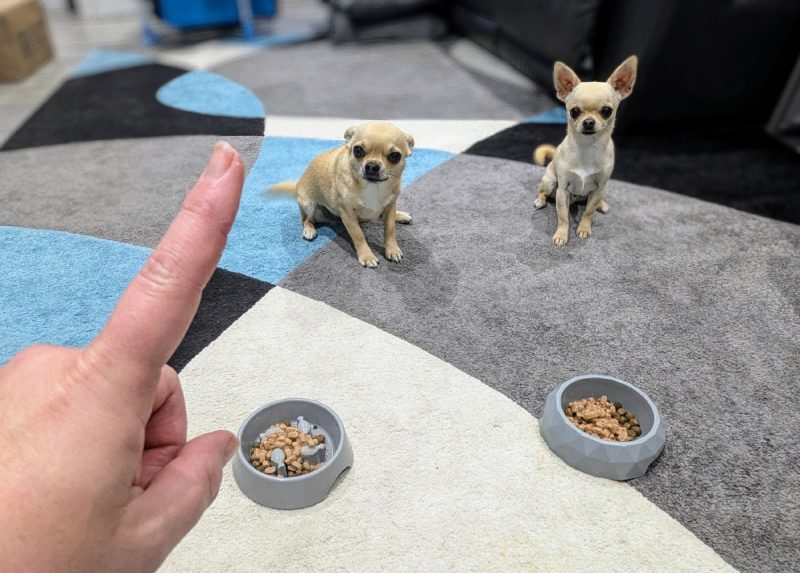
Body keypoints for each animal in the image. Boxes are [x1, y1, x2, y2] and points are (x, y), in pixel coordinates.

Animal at [272, 121, 416, 268]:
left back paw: (400, 215)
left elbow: (390, 230)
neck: (373, 187)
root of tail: (297, 184)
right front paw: (367, 256)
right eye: (358, 150)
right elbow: (358, 235)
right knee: (307, 220)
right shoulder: (348, 214)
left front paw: (392, 250)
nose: (372, 166)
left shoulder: (390, 206)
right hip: (309, 205)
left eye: (395, 156)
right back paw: (309, 230)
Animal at [536, 55, 640, 246]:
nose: (589, 122)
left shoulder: (598, 188)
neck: (587, 147)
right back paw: (540, 200)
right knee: (542, 189)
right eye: (574, 111)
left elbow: (588, 212)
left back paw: (602, 204)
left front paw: (584, 228)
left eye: (607, 110)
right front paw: (561, 235)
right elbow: (563, 217)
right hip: (550, 181)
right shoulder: (563, 190)